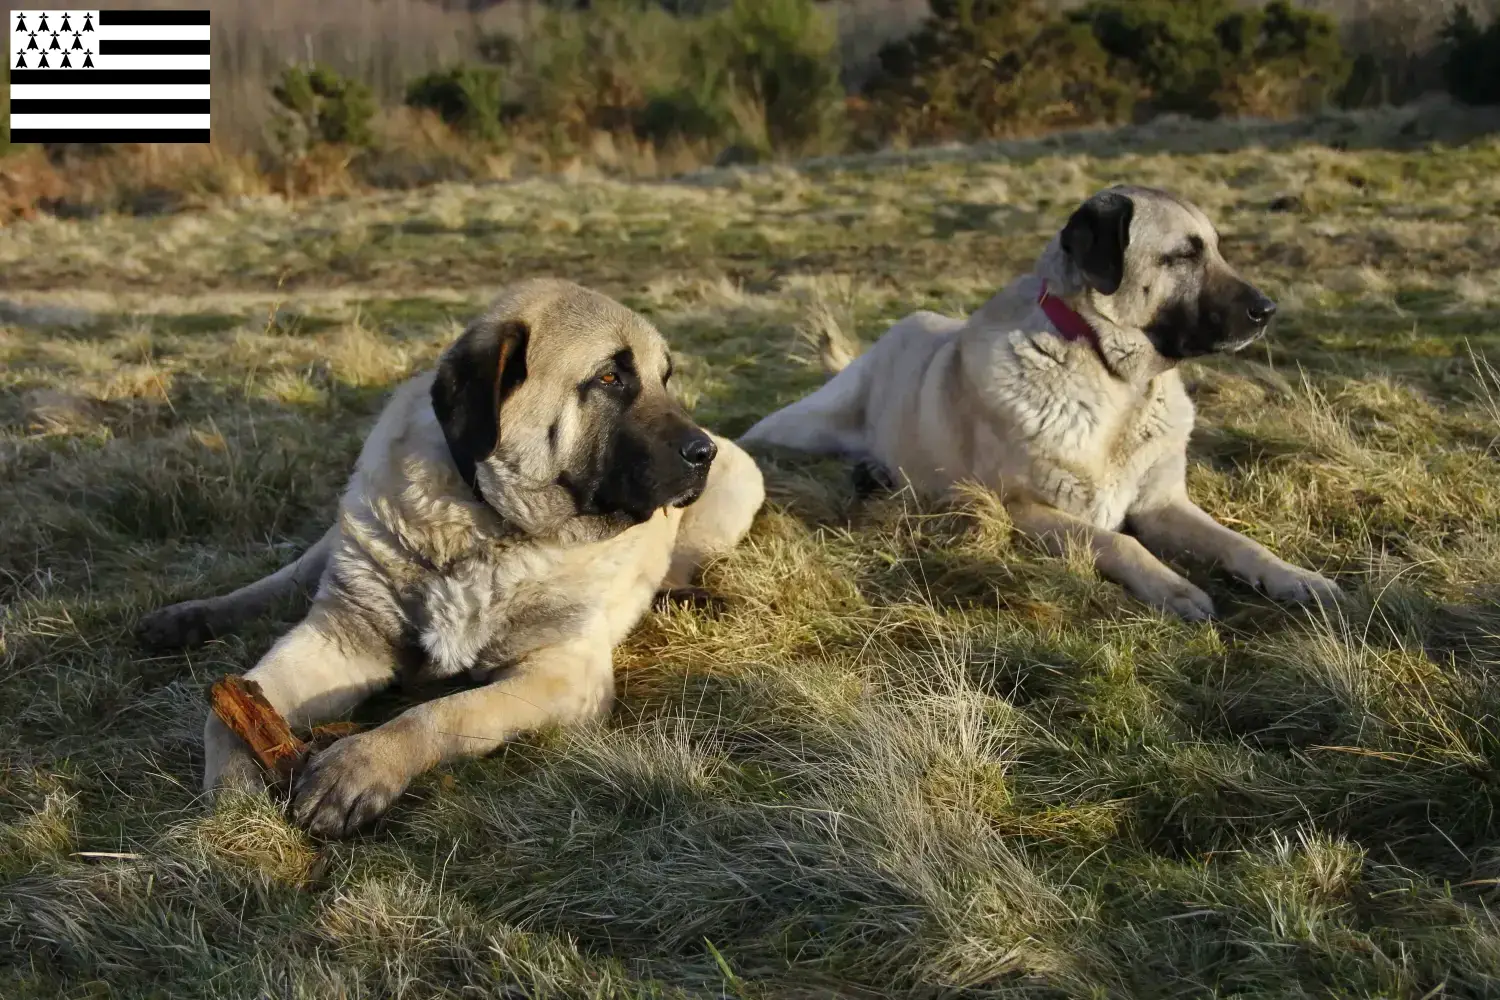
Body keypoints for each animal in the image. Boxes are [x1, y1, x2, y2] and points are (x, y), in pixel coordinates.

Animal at [744, 185, 1344, 617]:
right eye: (1182, 256)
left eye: (1216, 249)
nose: (1268, 310)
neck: (1114, 380)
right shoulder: (1025, 510)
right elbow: (1119, 544)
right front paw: (1173, 587)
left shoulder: (1162, 504)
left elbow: (1240, 543)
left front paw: (1297, 578)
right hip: (803, 425)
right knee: (761, 436)